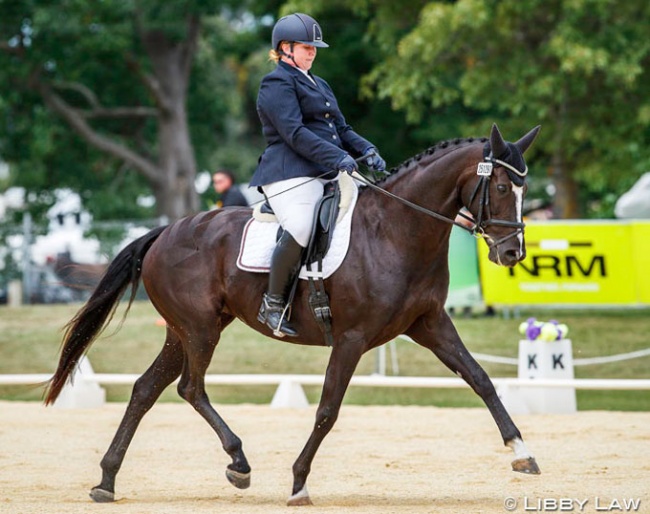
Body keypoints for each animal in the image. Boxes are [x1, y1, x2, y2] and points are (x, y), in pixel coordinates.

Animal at [44, 123, 540, 504]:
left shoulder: (430, 324)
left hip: (185, 330)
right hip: (199, 329)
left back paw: (107, 481)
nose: (512, 253)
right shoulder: (352, 338)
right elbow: (327, 410)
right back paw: (238, 462)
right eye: (500, 187)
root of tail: (166, 231)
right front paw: (299, 482)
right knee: (190, 387)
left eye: (525, 190)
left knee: (146, 389)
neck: (396, 231)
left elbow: (480, 379)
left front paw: (521, 451)